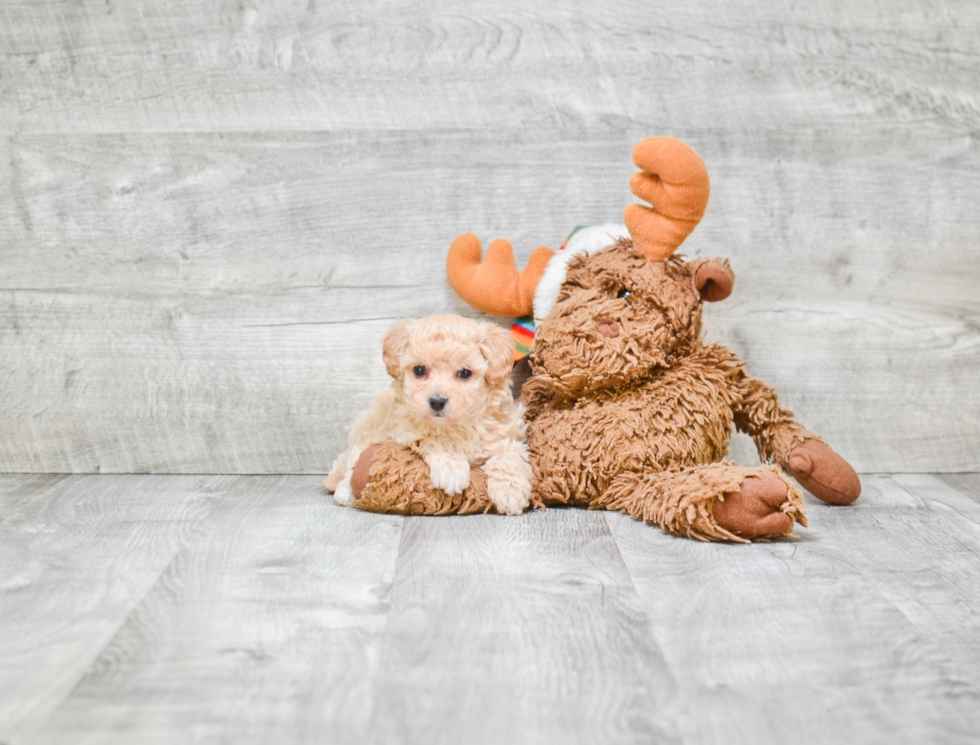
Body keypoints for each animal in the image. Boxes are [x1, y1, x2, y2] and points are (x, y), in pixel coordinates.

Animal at [326, 312, 532, 512]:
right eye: (419, 370)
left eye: (465, 373)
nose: (437, 401)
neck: (459, 425)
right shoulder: (406, 430)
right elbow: (435, 438)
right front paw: (451, 469)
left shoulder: (506, 433)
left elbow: (508, 456)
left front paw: (511, 493)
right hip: (368, 427)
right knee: (351, 465)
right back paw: (345, 492)